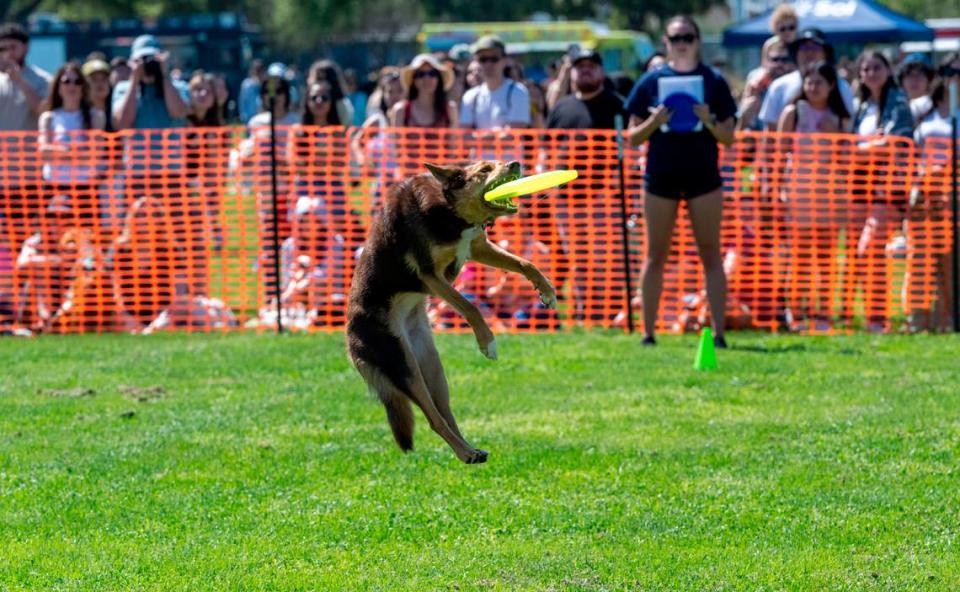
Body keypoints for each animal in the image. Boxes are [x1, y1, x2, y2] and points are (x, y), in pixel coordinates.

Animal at [346, 161, 560, 462]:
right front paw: (488, 343)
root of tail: (350, 341)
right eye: (484, 169)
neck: (449, 208)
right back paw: (465, 453)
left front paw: (547, 291)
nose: (515, 163)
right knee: (433, 418)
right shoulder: (431, 275)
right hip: (403, 364)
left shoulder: (476, 247)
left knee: (445, 413)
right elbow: (469, 305)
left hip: (431, 365)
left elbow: (525, 263)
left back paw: (471, 450)